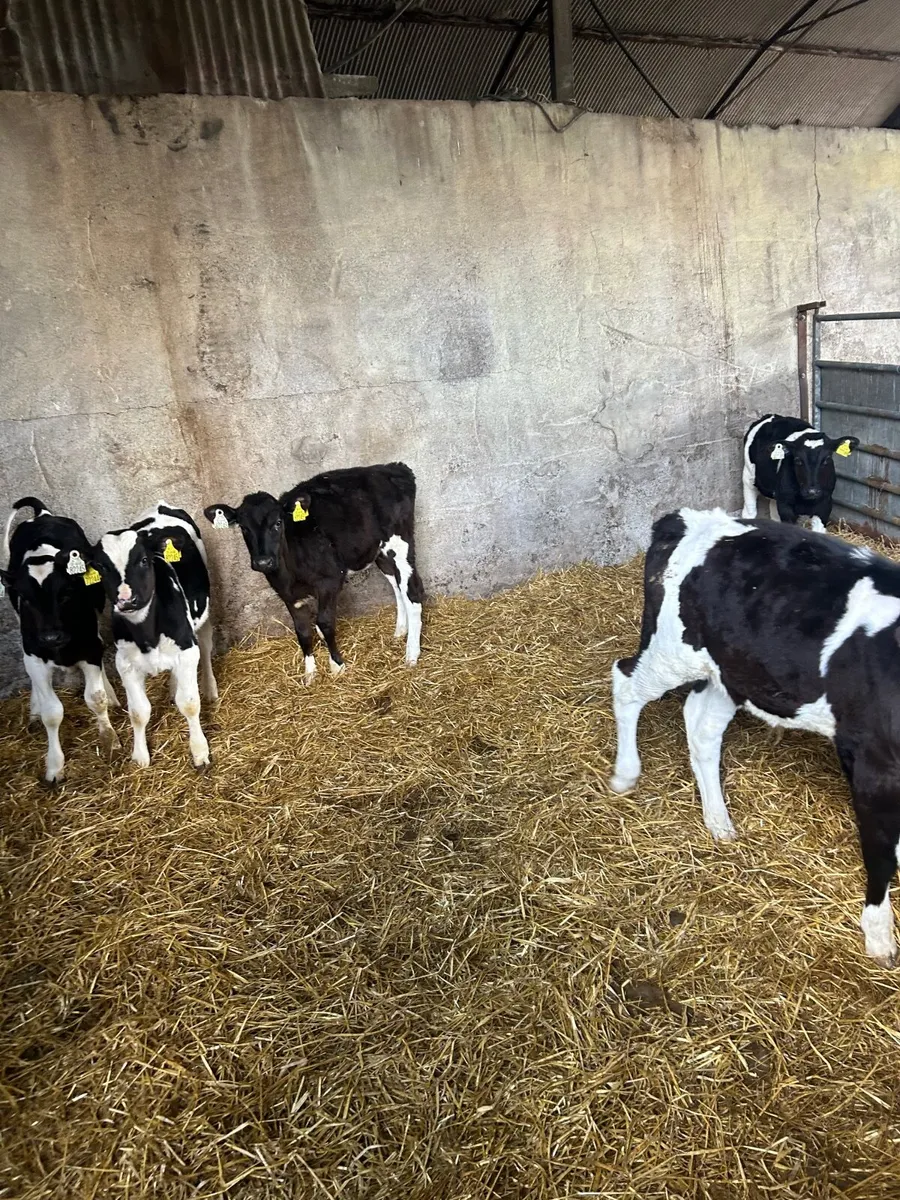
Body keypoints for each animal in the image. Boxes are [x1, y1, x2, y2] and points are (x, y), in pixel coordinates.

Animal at [1, 496, 119, 783]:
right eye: (26, 598)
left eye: (66, 593)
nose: (50, 636)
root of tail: (42, 513)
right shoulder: (34, 655)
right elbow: (52, 712)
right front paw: (54, 767)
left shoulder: (90, 648)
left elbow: (95, 697)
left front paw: (110, 740)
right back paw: (33, 709)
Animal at [91, 503, 217, 769]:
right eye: (102, 567)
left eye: (143, 560)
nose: (126, 600)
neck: (147, 635)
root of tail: (160, 506)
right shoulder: (125, 663)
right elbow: (139, 712)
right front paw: (140, 756)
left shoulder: (187, 651)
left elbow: (190, 703)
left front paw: (199, 751)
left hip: (203, 613)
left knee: (206, 644)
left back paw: (210, 689)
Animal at [204, 463, 424, 683]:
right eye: (243, 527)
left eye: (278, 523)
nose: (263, 562)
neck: (290, 574)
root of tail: (393, 467)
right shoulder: (288, 595)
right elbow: (303, 631)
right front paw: (310, 673)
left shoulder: (329, 582)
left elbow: (324, 623)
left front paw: (337, 666)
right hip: (378, 552)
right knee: (396, 585)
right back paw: (400, 631)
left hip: (400, 543)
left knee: (412, 591)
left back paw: (411, 655)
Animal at [609, 507, 900, 965]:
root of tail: (688, 518)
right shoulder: (875, 762)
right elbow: (882, 852)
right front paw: (879, 934)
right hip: (672, 651)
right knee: (625, 683)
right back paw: (625, 775)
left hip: (733, 670)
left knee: (702, 725)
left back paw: (718, 822)